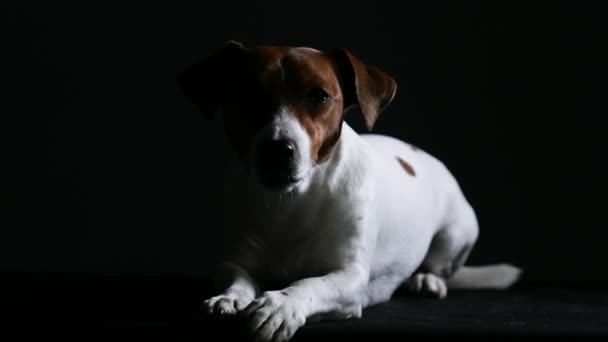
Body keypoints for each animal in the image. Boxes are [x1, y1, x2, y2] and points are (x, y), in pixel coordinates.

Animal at [176, 41, 524, 340]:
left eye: (319, 96)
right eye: (247, 94)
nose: (278, 150)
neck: (292, 204)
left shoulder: (350, 277)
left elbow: (309, 284)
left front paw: (281, 305)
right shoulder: (235, 259)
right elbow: (237, 277)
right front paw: (229, 298)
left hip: (457, 232)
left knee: (440, 265)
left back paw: (426, 279)